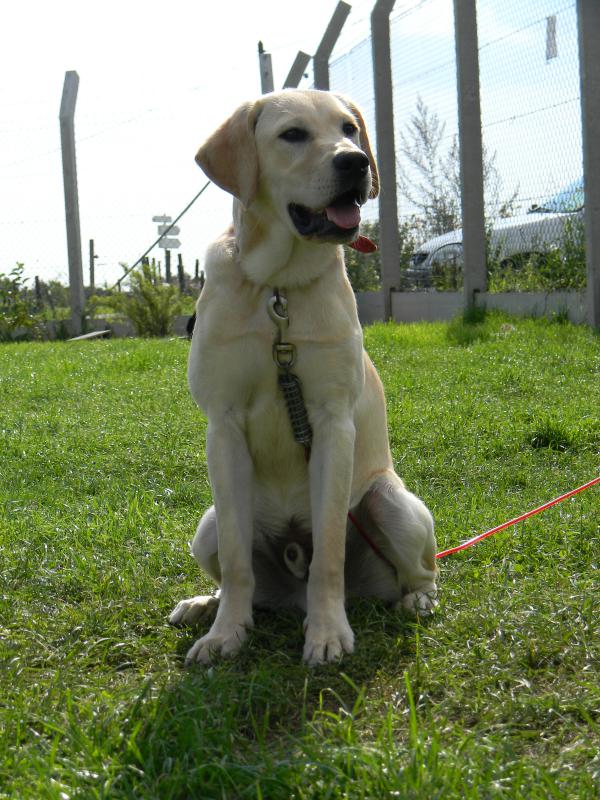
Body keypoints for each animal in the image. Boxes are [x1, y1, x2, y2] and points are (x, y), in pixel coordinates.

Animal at [169, 87, 436, 664]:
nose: (354, 162)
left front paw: (328, 631)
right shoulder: (222, 424)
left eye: (349, 128)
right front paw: (225, 633)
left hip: (390, 502)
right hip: (206, 525)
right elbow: (238, 565)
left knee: (422, 570)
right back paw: (206, 604)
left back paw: (417, 600)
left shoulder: (332, 422)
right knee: (236, 569)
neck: (278, 290)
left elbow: (329, 551)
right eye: (292, 134)